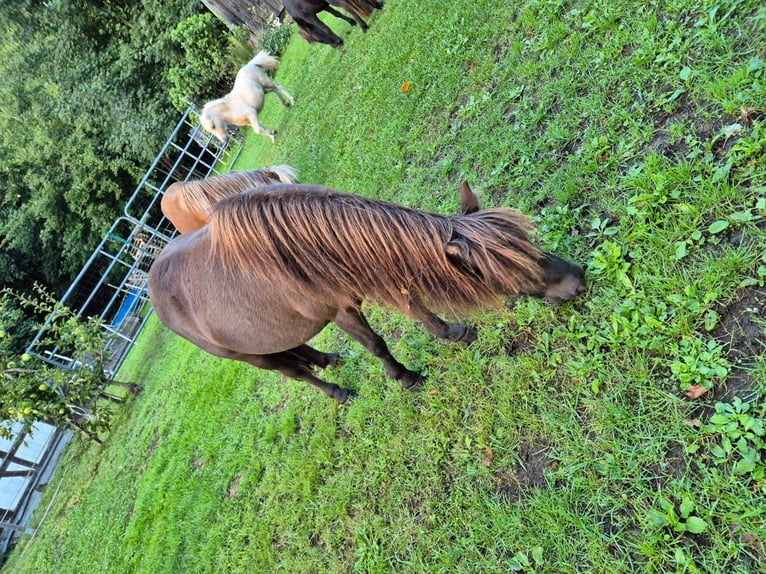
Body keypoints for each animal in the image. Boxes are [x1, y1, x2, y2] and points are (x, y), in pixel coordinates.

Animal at [148, 182, 586, 403]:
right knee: (294, 371)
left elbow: (417, 307)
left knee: (299, 349)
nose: (577, 279)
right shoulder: (341, 310)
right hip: (252, 357)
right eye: (508, 269)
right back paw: (338, 392)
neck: (304, 249)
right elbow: (377, 344)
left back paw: (329, 359)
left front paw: (454, 334)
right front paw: (405, 377)